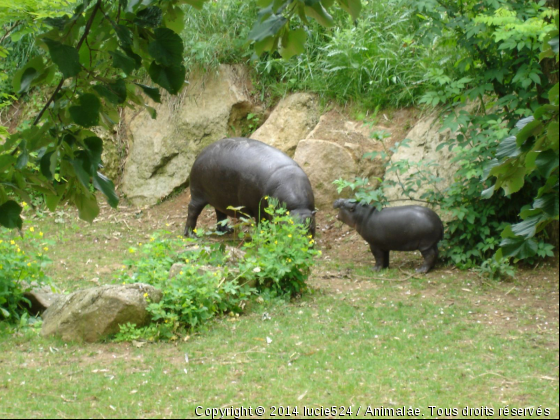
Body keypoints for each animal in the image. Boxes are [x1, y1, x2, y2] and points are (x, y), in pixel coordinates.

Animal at [184, 138, 316, 236]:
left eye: (311, 227)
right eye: (289, 226)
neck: (298, 208)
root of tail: (201, 152)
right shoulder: (259, 211)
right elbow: (263, 225)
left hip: (219, 197)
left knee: (220, 213)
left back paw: (226, 230)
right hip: (197, 194)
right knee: (192, 211)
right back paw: (191, 234)